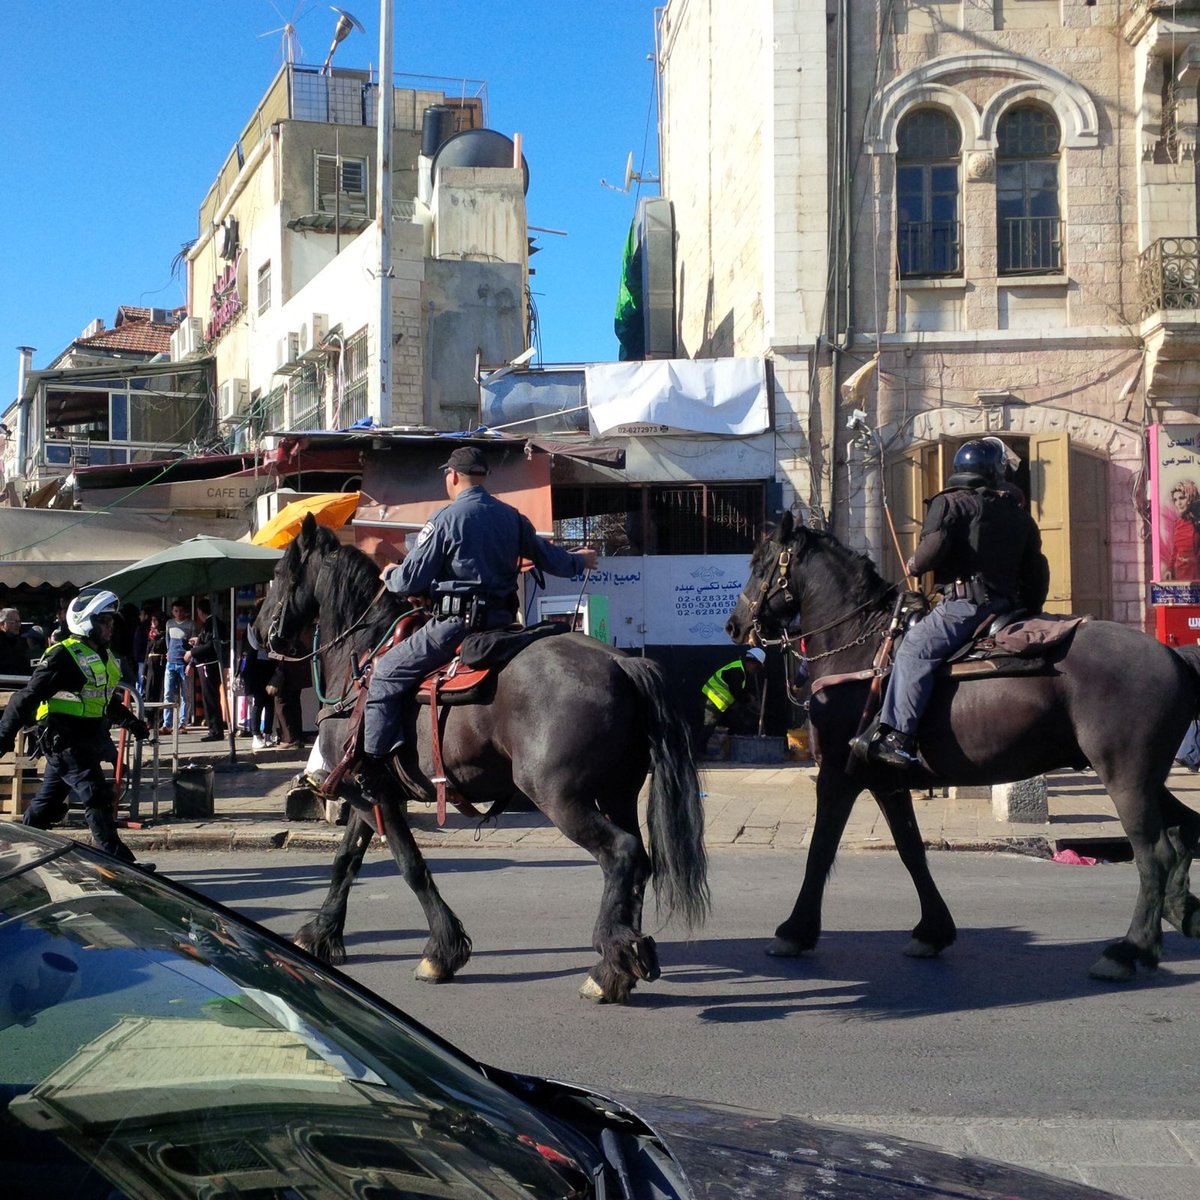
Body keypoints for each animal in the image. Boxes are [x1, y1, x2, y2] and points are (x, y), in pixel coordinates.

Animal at [253, 516, 700, 1003]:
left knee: (621, 855)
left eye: (278, 573)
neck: (363, 655)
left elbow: (411, 866)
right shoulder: (368, 792)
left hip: (562, 799)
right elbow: (345, 861)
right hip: (617, 791)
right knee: (639, 861)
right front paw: (321, 933)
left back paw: (608, 968)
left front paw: (441, 953)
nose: (256, 632)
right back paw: (620, 962)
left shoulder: (372, 797)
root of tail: (621, 664)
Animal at [724, 511, 1200, 979]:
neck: (860, 648)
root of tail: (1175, 658)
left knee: (1154, 852)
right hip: (1144, 777)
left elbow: (821, 851)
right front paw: (932, 931)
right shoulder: (886, 781)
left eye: (759, 563)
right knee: (1182, 833)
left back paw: (1128, 949)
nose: (735, 625)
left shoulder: (838, 775)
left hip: (1124, 775)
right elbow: (911, 850)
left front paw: (794, 931)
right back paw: (1178, 914)